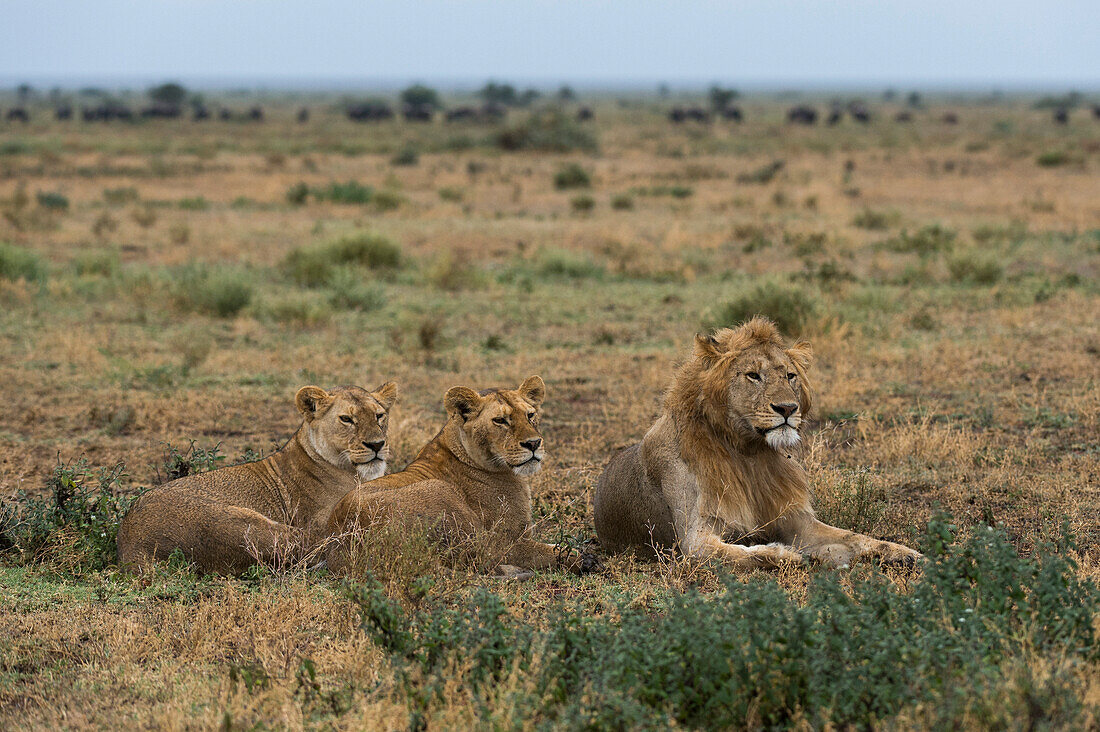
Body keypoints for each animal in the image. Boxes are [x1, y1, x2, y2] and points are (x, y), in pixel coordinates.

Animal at [116, 378, 398, 572]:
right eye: (346, 419)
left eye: (379, 415)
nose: (377, 445)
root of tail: (131, 545)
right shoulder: (322, 521)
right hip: (248, 525)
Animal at [321, 376, 598, 576]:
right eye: (500, 421)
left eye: (530, 415)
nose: (533, 443)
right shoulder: (505, 541)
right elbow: (545, 551)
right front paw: (582, 559)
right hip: (441, 493)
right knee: (485, 560)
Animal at [594, 317, 919, 567]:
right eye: (753, 375)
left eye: (790, 376)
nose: (788, 408)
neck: (747, 452)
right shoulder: (694, 541)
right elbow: (748, 554)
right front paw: (790, 555)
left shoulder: (796, 520)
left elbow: (854, 536)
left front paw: (907, 554)